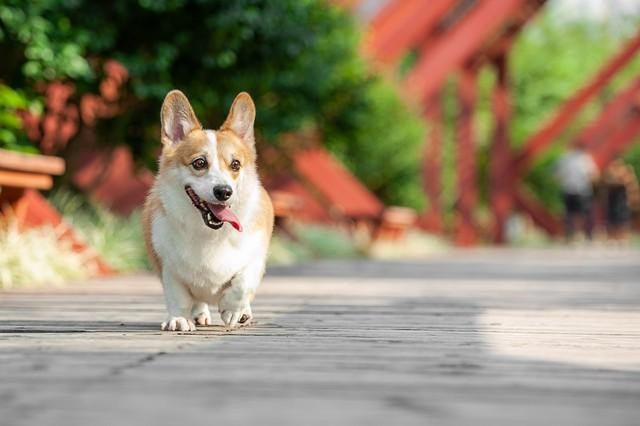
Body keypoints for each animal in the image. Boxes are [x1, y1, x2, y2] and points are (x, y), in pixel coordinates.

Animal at [144, 89, 274, 330]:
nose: (224, 191)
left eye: (235, 165)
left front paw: (232, 309)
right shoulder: (169, 267)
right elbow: (178, 297)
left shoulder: (256, 257)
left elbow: (243, 282)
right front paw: (179, 319)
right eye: (199, 163)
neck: (210, 233)